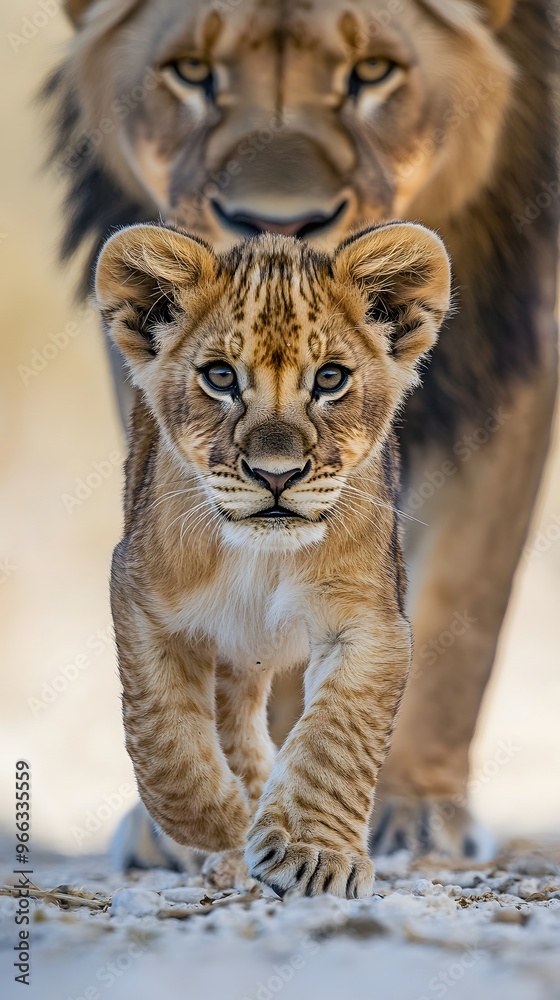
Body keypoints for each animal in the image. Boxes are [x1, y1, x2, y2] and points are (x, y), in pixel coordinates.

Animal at [95, 220, 451, 896]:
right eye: (220, 377)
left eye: (331, 379)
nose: (276, 475)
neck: (262, 559)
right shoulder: (141, 600)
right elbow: (165, 745)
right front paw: (227, 823)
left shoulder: (370, 619)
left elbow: (336, 737)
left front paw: (312, 854)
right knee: (228, 725)